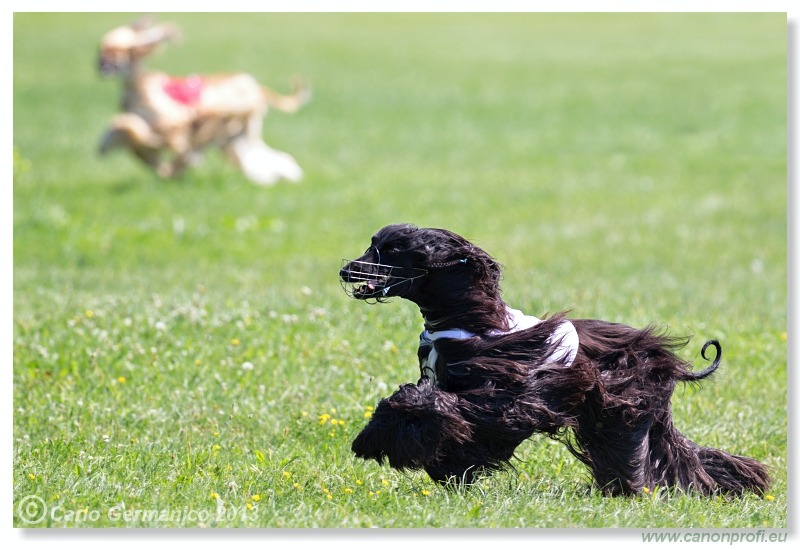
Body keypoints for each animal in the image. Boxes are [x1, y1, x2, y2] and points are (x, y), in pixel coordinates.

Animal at [97, 16, 310, 185]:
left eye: (115, 52)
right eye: (101, 50)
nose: (99, 64)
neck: (139, 89)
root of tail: (255, 84)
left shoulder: (174, 127)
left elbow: (134, 131)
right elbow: (131, 137)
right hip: (237, 136)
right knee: (263, 159)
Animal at [340, 222, 768, 498]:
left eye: (391, 250)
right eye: (372, 244)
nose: (346, 269)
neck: (465, 317)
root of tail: (658, 354)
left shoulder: (512, 393)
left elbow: (431, 406)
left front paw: (383, 444)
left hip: (622, 410)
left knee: (632, 453)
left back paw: (632, 491)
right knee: (678, 455)